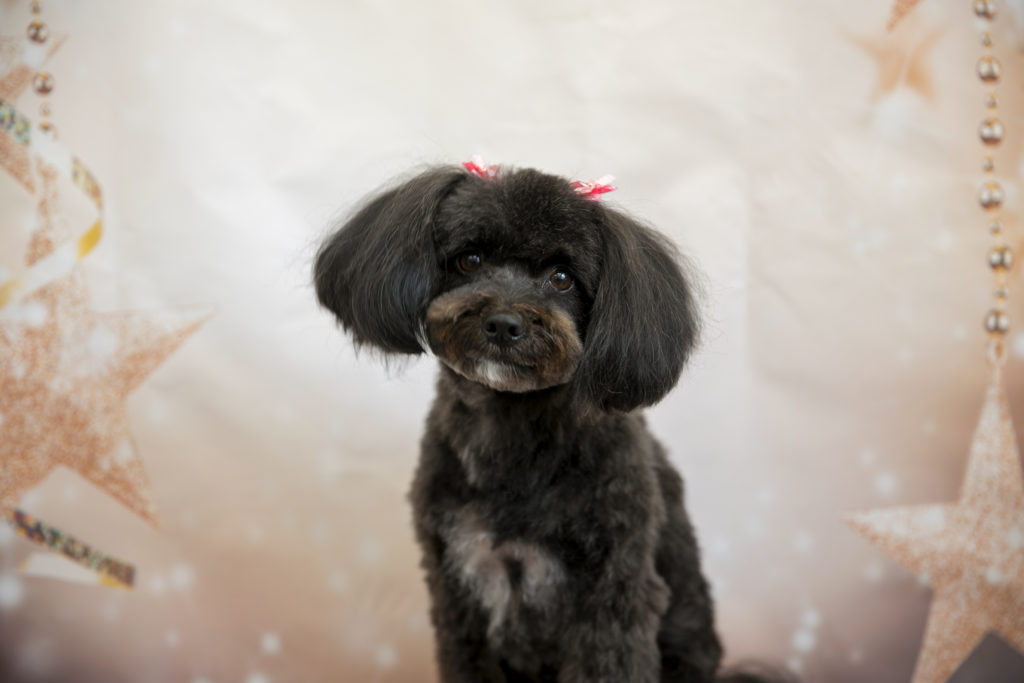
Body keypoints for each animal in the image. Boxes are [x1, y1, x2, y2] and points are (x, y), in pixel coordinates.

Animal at [315, 162, 783, 683]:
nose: (503, 323)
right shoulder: (459, 589)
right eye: (470, 260)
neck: (513, 430)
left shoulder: (613, 600)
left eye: (562, 278)